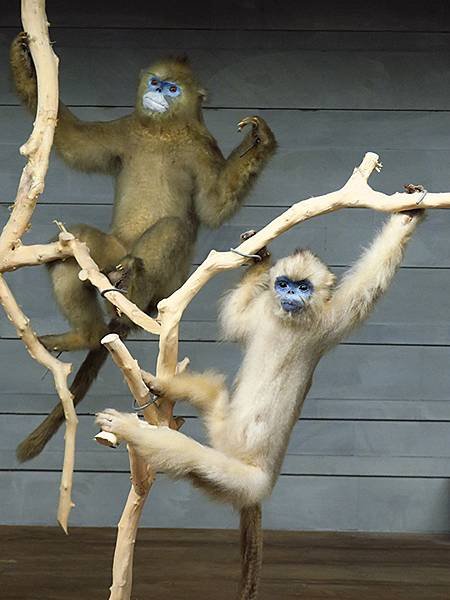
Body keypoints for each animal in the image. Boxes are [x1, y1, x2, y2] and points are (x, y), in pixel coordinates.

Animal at [9, 32, 278, 462]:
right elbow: (72, 143)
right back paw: (86, 333)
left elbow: (213, 206)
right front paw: (24, 60)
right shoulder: (126, 129)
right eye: (155, 82)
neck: (162, 131)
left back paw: (133, 288)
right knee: (74, 247)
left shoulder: (202, 146)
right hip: (109, 254)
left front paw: (258, 141)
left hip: (166, 284)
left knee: (171, 229)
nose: (158, 93)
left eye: (173, 89)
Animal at [96, 209, 426, 596]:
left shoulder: (332, 320)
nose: (290, 294)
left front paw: (408, 217)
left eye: (303, 287)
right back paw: (158, 385)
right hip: (223, 428)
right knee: (212, 394)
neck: (289, 322)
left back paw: (129, 427)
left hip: (243, 481)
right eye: (283, 284)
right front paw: (260, 260)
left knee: (187, 456)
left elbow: (372, 280)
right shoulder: (261, 317)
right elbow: (235, 318)